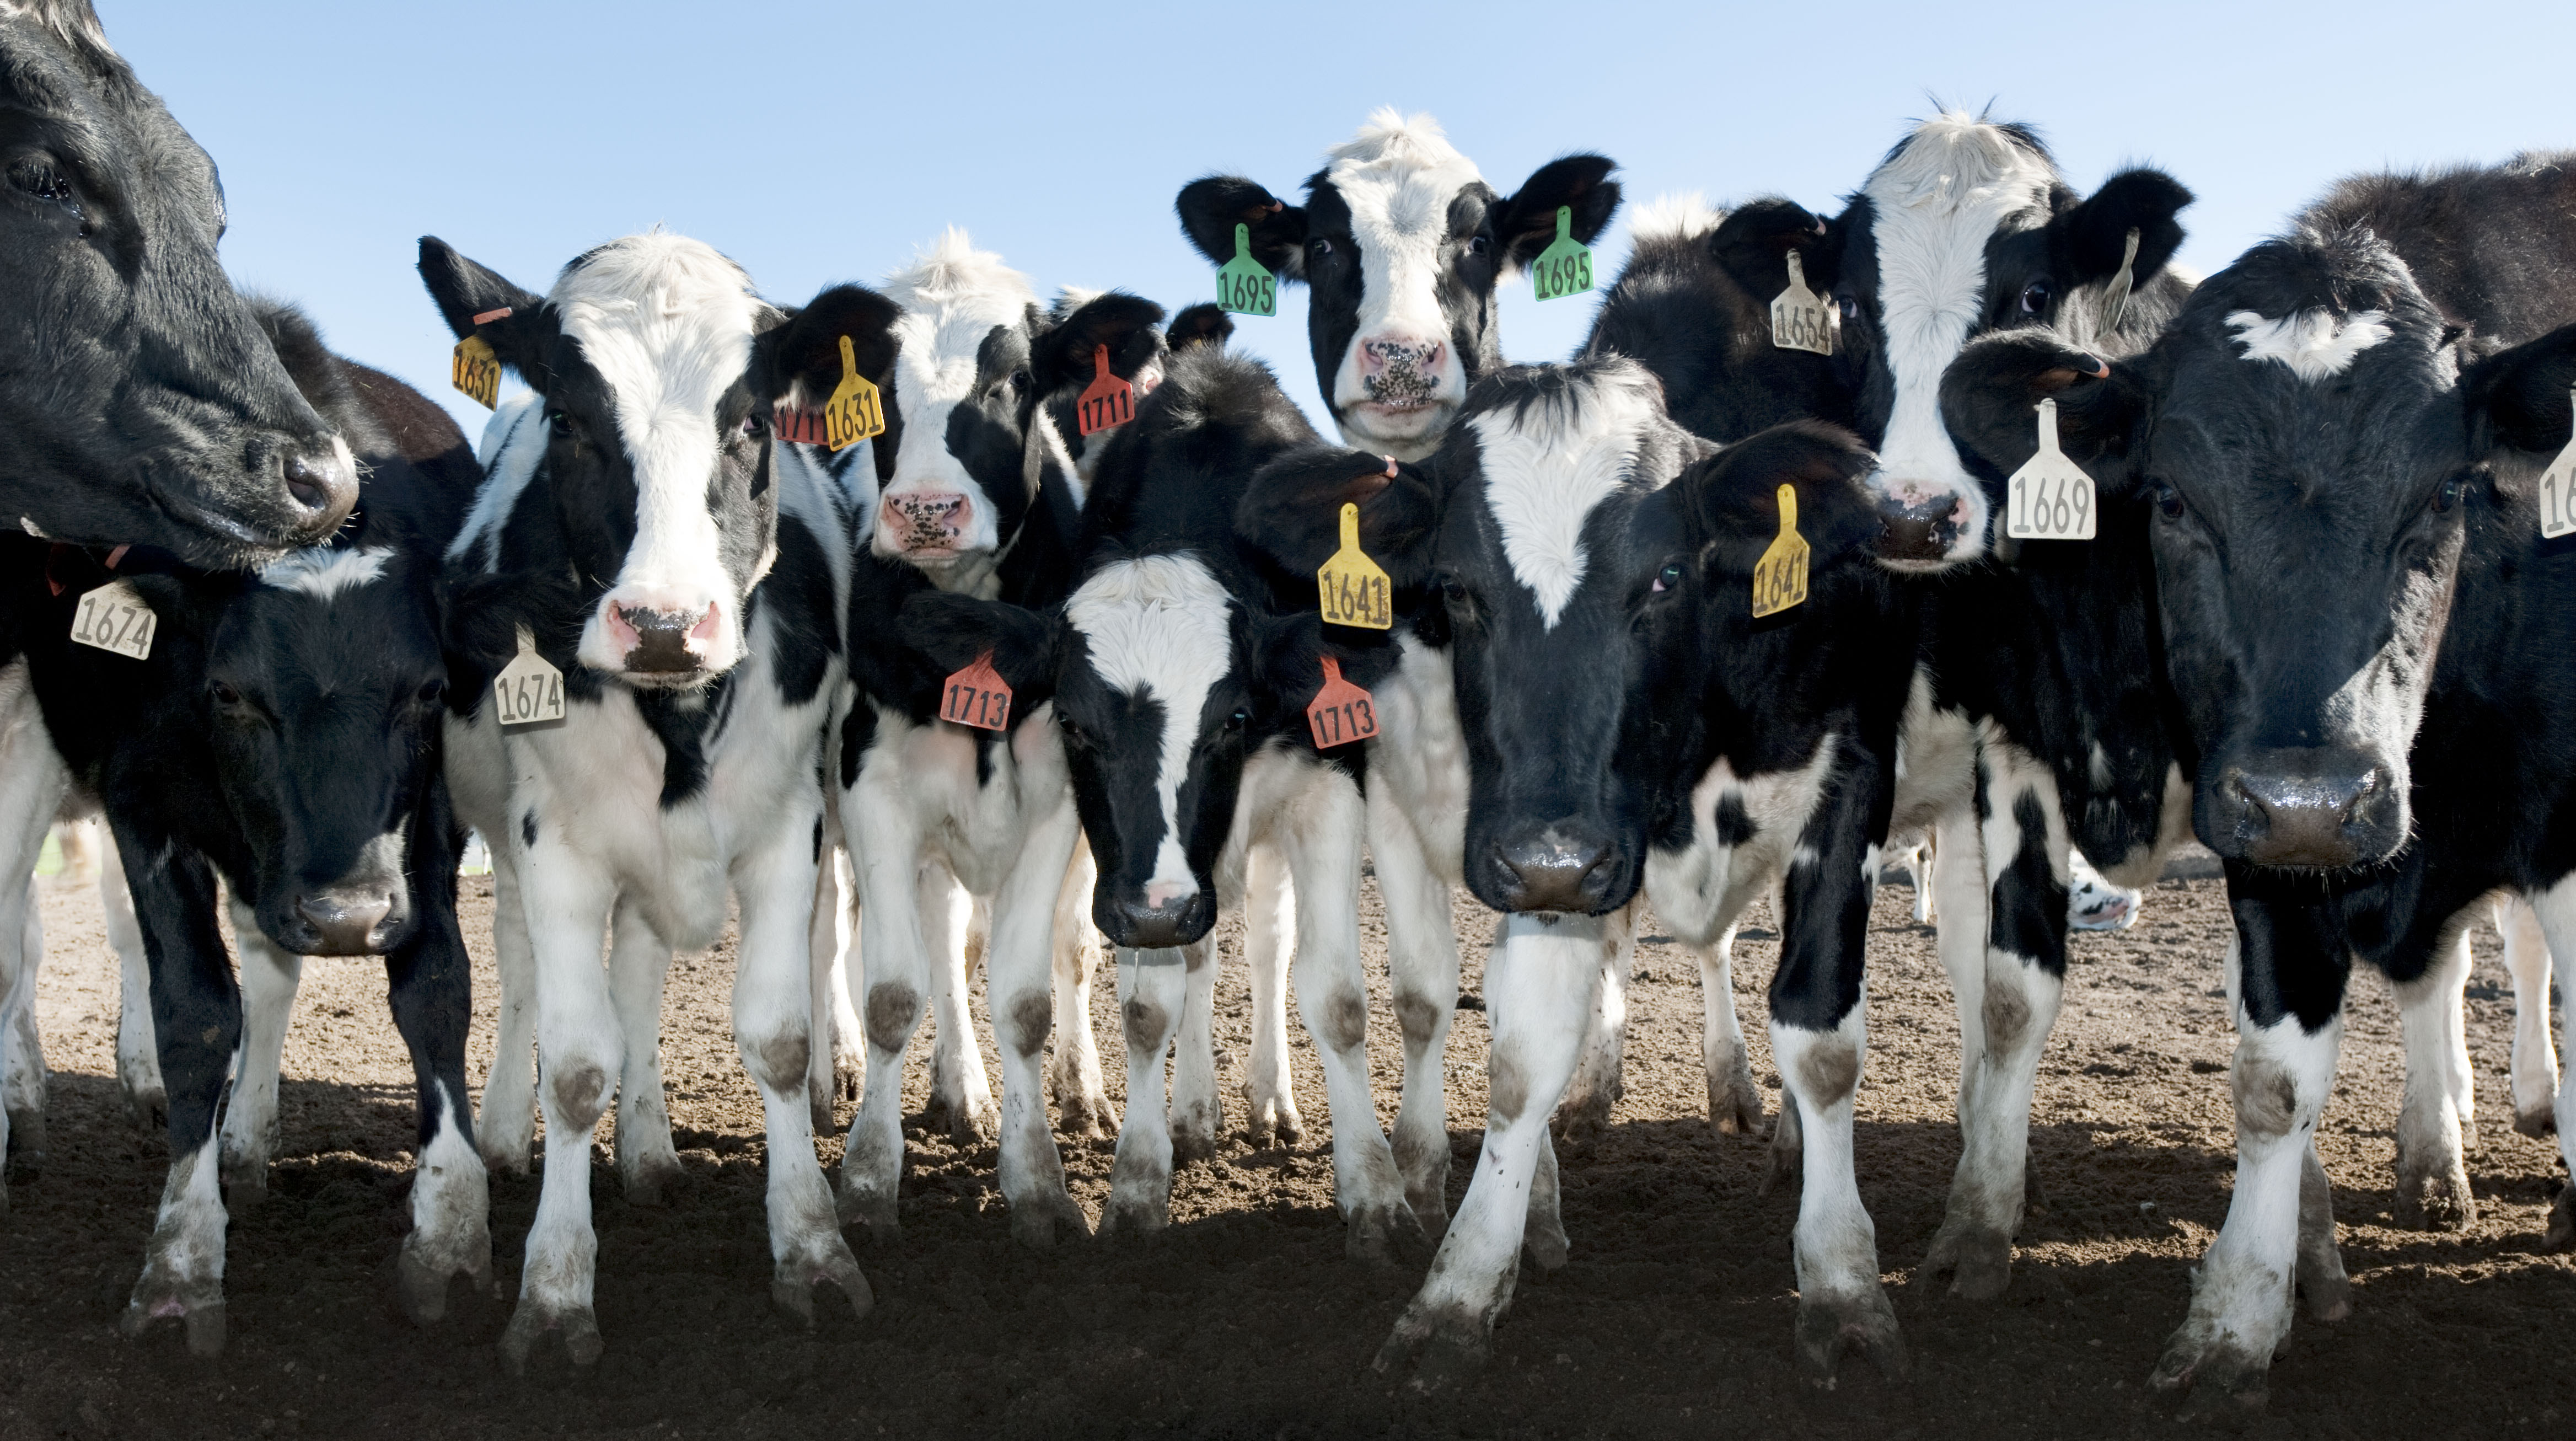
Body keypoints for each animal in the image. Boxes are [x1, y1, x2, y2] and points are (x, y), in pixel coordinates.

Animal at [0, 301, 485, 1352]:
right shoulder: (142, 801)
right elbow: (194, 1009)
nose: (347, 916)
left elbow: (435, 986)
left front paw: (450, 1226)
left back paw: (244, 1135)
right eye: (230, 693)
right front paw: (184, 1253)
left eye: (428, 692)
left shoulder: (426, 820)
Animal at [422, 232, 880, 1369]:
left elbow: (776, 1035)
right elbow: (577, 1063)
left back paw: (653, 1144)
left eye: (753, 418)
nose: (665, 622)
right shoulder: (555, 846)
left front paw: (813, 1246)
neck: (675, 714)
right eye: (569, 418)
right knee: (532, 976)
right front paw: (553, 1288)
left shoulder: (788, 827)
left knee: (663, 967)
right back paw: (517, 1132)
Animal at [1939, 154, 2576, 1412]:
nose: (2314, 792)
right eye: (2171, 499)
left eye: (2448, 493)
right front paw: (2236, 1320)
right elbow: (2272, 1080)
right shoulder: (2269, 849)